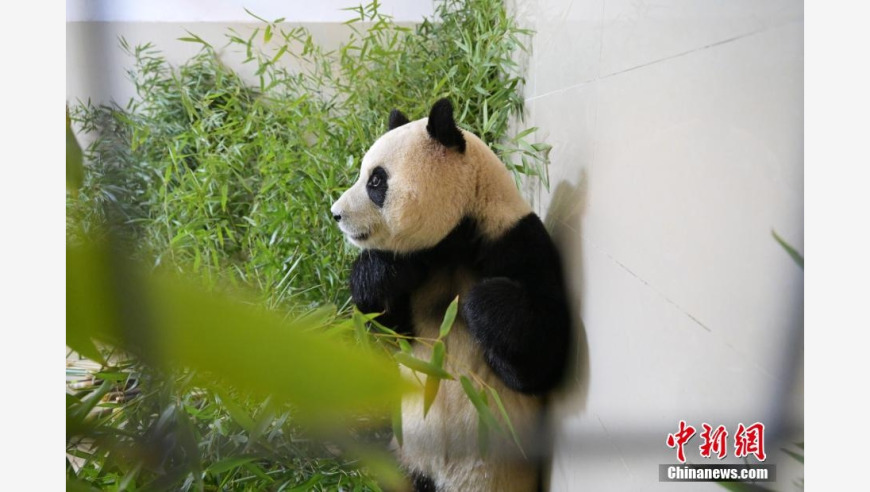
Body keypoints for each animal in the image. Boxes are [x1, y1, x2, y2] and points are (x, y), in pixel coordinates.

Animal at [328, 98, 572, 490]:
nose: (336, 214)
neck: (456, 236)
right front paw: (382, 271)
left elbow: (539, 362)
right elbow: (392, 328)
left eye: (376, 181)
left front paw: (480, 302)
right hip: (404, 454)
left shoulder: (518, 243)